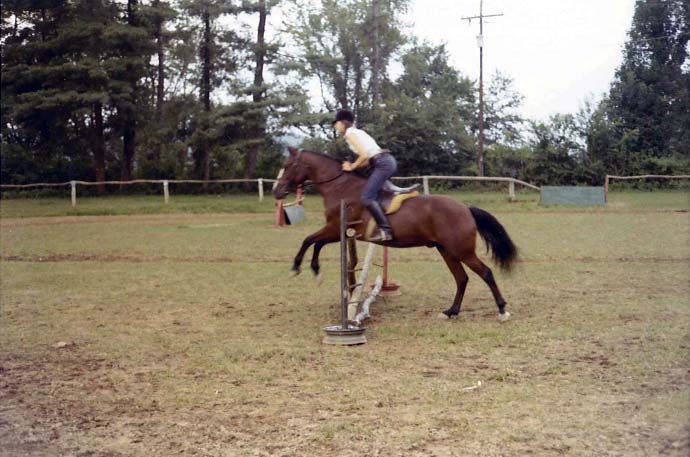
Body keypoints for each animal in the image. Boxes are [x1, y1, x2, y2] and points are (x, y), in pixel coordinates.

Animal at [272, 148, 516, 318]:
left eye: (287, 165)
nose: (276, 191)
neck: (340, 187)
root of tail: (465, 208)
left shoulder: (335, 229)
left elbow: (309, 240)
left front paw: (301, 268)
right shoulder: (338, 231)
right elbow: (315, 243)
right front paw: (314, 270)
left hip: (461, 250)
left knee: (485, 273)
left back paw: (502, 310)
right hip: (446, 250)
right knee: (462, 278)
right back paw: (451, 311)